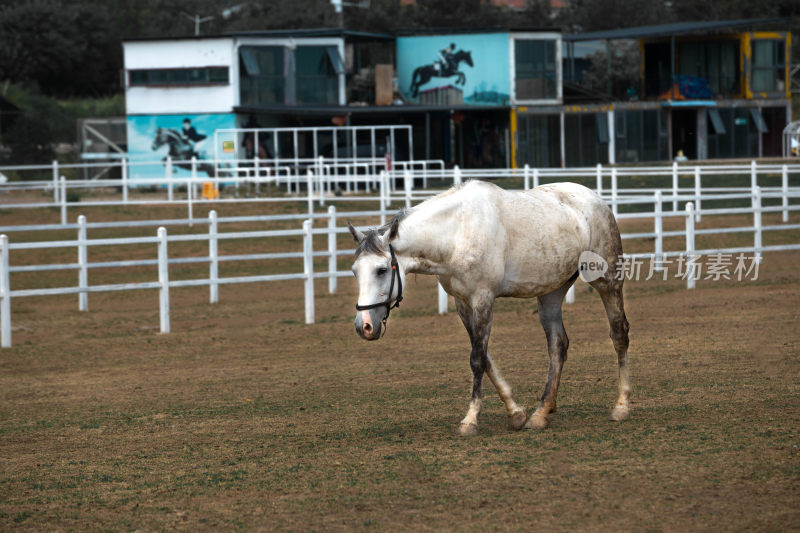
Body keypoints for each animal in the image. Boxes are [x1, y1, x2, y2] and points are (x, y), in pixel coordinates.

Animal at [350, 181, 632, 434]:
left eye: (381, 270)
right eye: (354, 271)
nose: (364, 326)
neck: (456, 233)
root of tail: (595, 200)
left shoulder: (483, 300)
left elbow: (477, 359)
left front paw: (470, 420)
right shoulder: (463, 304)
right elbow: (485, 357)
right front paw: (516, 414)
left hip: (607, 282)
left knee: (619, 333)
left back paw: (621, 407)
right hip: (551, 294)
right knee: (557, 346)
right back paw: (542, 412)